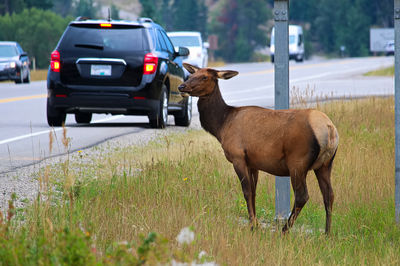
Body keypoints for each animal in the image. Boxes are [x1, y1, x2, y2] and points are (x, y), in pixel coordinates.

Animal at [180, 63, 340, 234]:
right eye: (191, 75)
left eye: (205, 77)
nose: (181, 86)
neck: (222, 126)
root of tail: (330, 129)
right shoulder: (253, 162)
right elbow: (254, 192)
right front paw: (254, 222)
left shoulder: (238, 157)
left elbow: (246, 191)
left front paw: (252, 226)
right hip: (326, 164)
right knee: (329, 194)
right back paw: (327, 233)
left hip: (297, 161)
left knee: (302, 196)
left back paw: (284, 230)